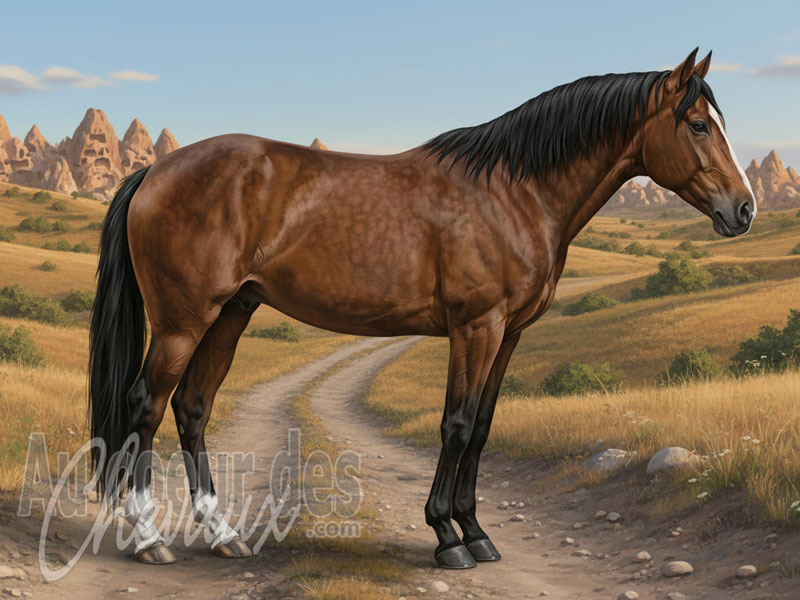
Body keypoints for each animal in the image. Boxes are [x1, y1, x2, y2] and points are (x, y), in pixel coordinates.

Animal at [88, 48, 755, 569]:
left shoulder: (509, 335)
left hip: (230, 314)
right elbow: (455, 424)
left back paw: (224, 535)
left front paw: (477, 533)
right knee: (145, 406)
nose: (743, 209)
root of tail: (154, 171)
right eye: (699, 124)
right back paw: (149, 539)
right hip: (183, 321)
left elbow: (481, 427)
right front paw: (446, 537)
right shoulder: (476, 327)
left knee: (193, 408)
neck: (514, 192)